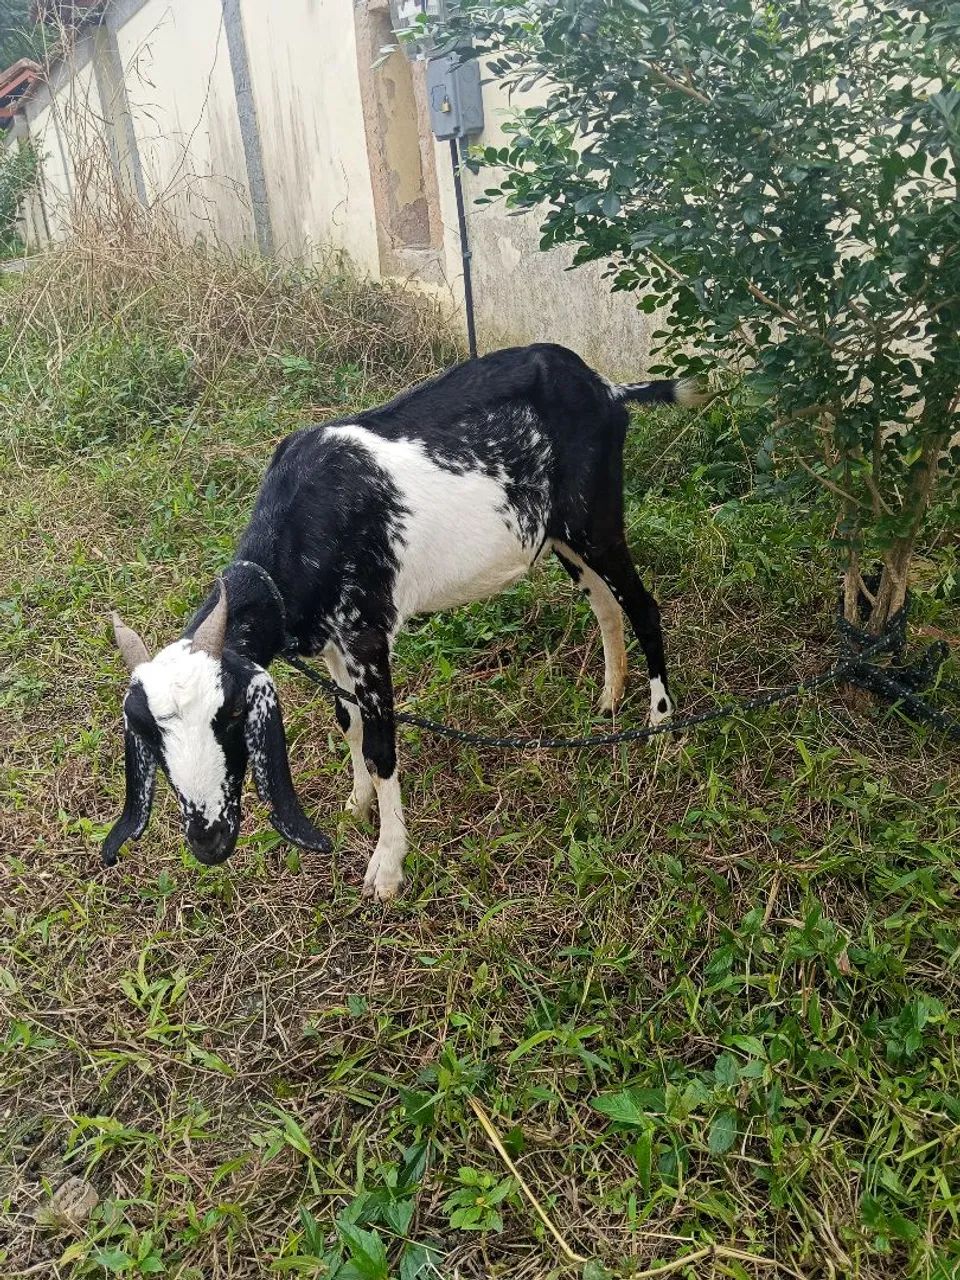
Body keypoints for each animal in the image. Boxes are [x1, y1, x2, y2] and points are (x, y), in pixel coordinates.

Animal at [105, 343, 704, 899]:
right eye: (151, 737)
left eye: (229, 717)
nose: (208, 841)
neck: (302, 524)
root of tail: (607, 388)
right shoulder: (333, 644)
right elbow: (347, 723)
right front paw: (356, 805)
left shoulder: (367, 636)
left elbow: (380, 749)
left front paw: (386, 865)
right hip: (559, 533)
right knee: (605, 605)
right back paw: (610, 695)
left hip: (595, 518)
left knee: (642, 605)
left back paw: (659, 721)